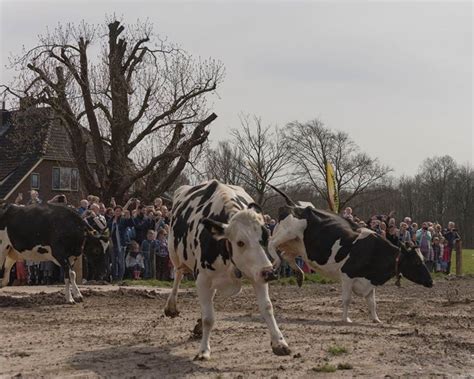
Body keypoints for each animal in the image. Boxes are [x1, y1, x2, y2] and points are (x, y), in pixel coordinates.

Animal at [163, 181, 288, 362]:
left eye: (266, 237)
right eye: (240, 242)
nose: (270, 273)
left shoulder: (257, 273)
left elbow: (267, 307)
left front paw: (279, 342)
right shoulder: (202, 279)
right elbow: (209, 318)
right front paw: (204, 350)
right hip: (175, 253)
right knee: (178, 273)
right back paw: (171, 307)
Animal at [264, 184, 432, 324]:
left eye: (423, 260)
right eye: (417, 262)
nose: (431, 282)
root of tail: (296, 206)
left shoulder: (369, 281)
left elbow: (372, 303)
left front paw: (376, 319)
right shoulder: (347, 275)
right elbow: (347, 299)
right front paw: (346, 319)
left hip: (297, 244)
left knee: (286, 255)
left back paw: (298, 275)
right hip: (287, 232)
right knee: (271, 244)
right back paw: (274, 263)